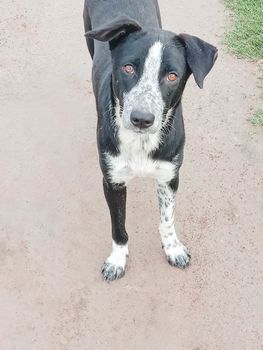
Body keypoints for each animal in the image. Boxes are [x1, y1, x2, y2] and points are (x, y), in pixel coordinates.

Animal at [83, 0, 218, 280]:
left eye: (172, 76)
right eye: (128, 68)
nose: (141, 119)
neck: (141, 143)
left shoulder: (169, 176)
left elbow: (167, 219)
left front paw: (173, 248)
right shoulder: (112, 181)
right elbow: (118, 227)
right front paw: (117, 260)